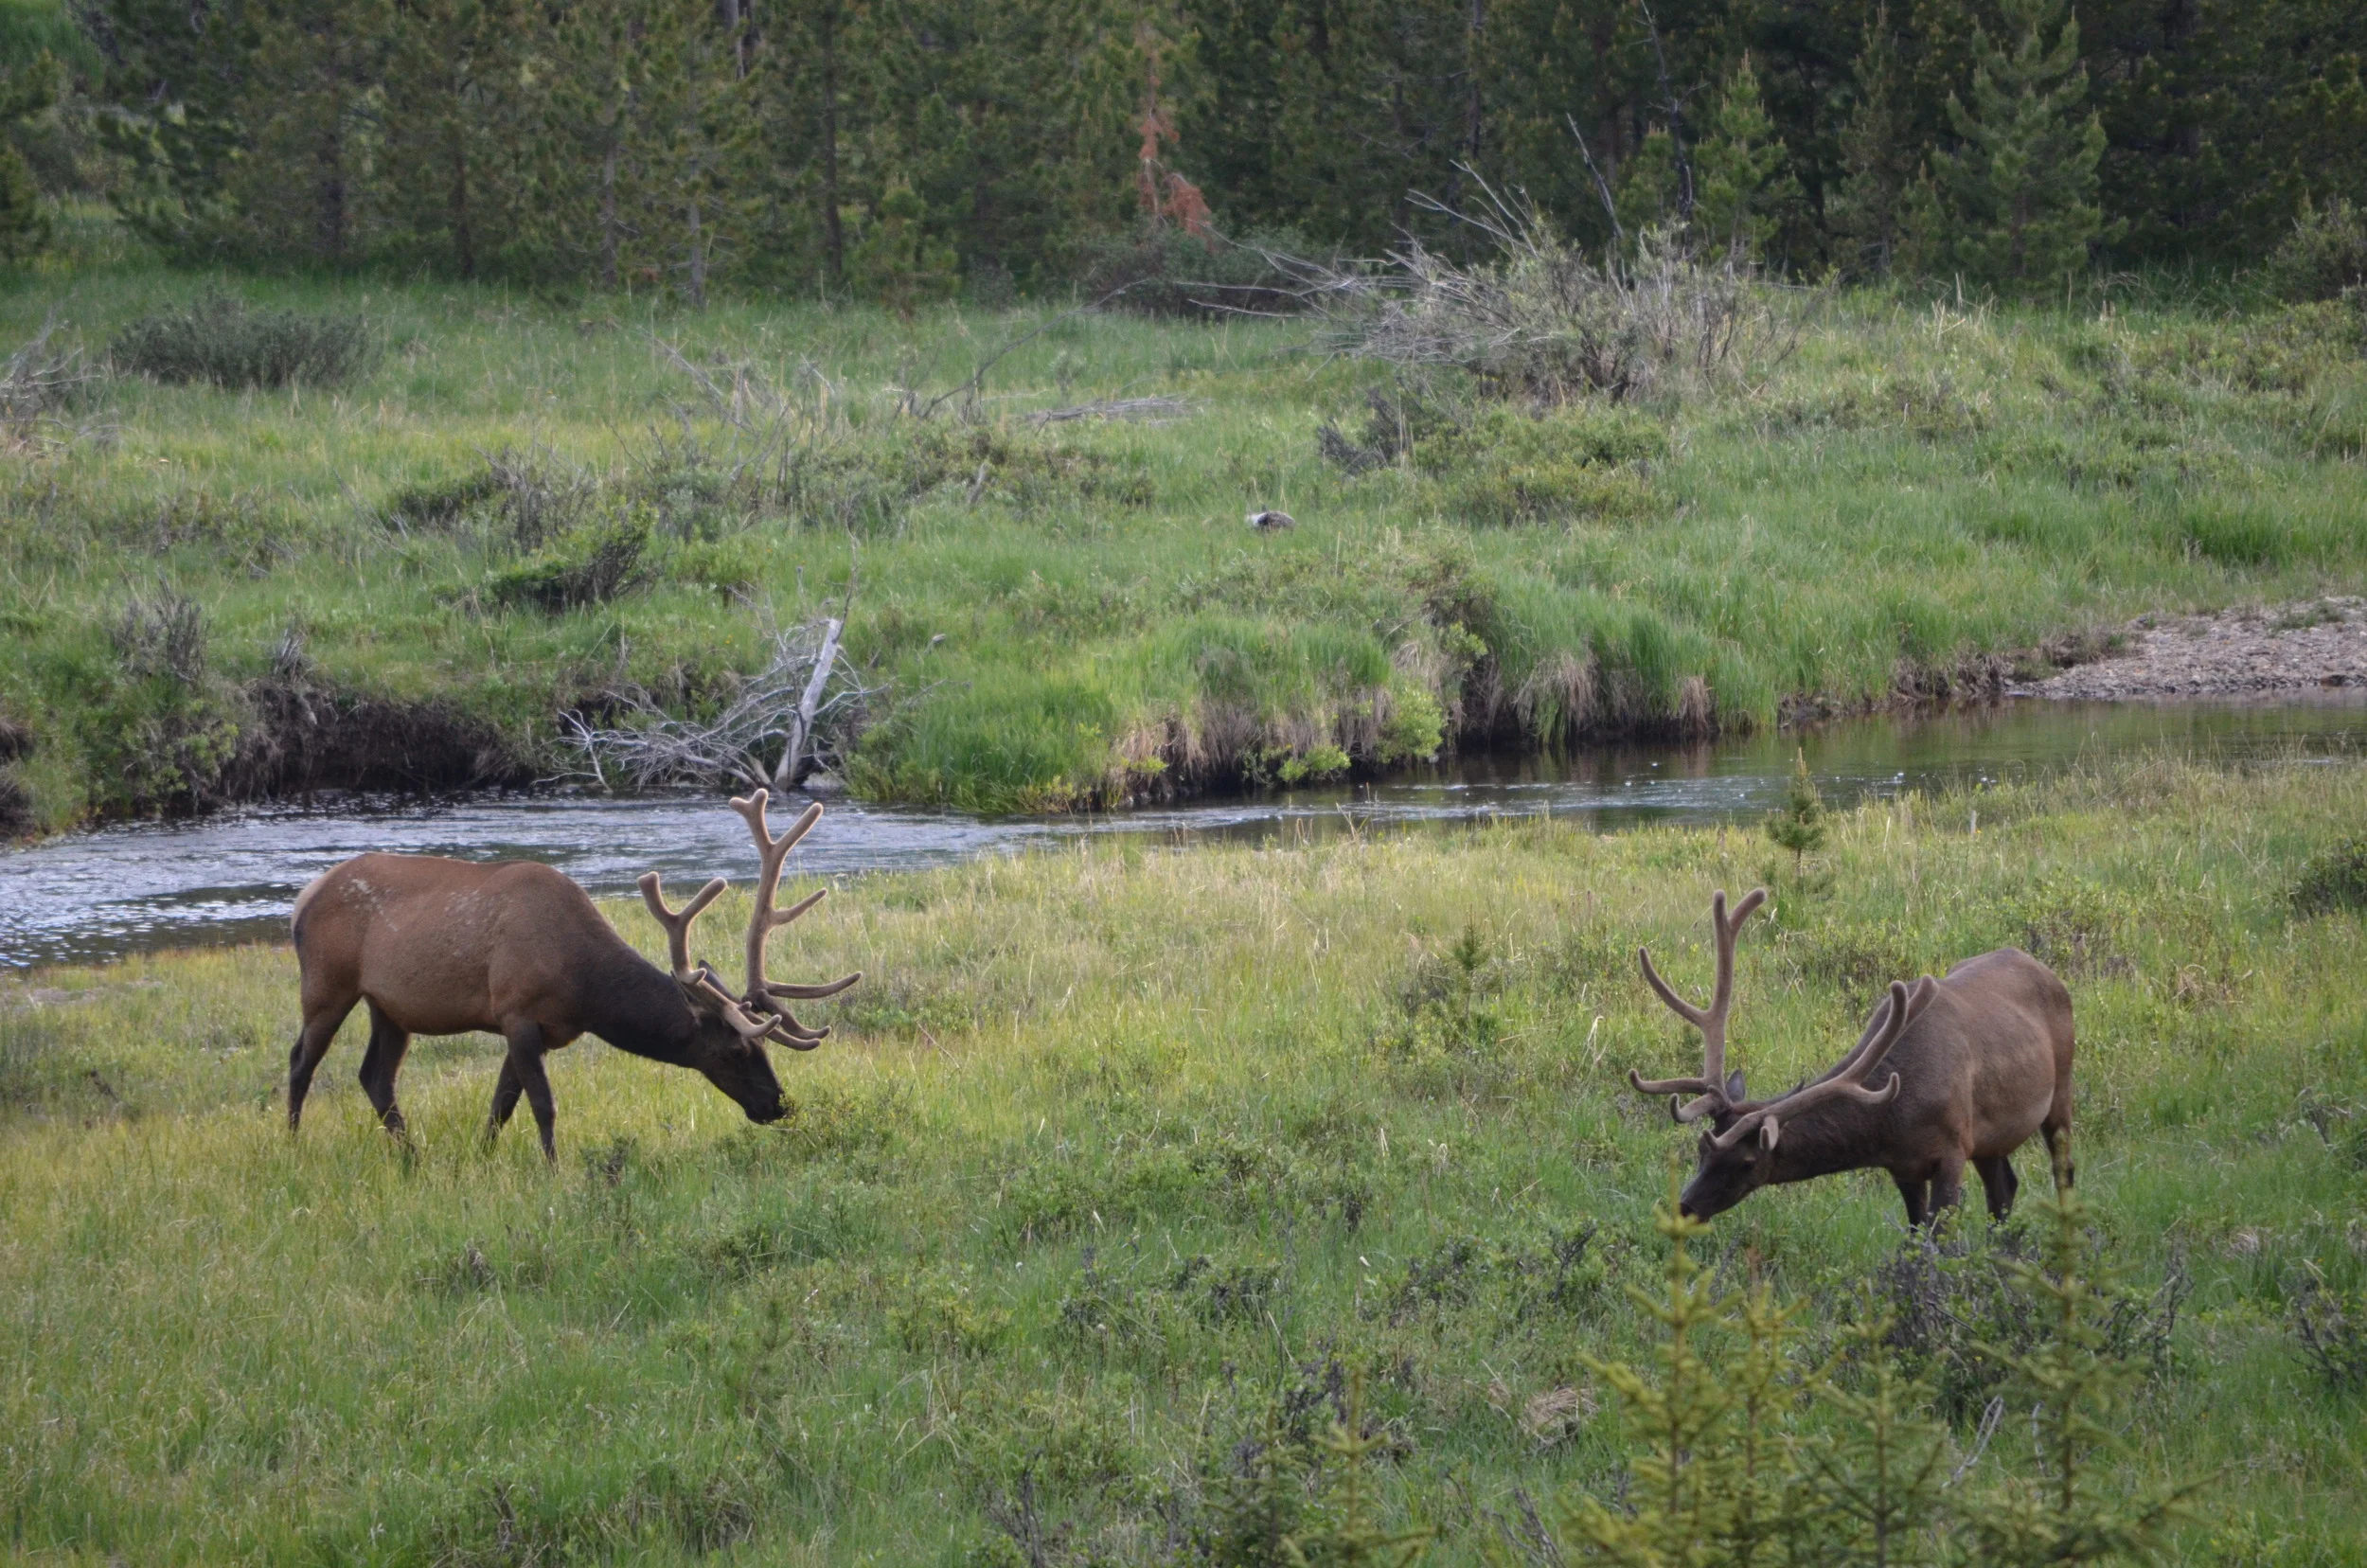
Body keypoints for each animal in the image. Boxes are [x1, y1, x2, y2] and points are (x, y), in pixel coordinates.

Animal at [286, 789, 860, 1159]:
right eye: (736, 1049)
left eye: (763, 1045)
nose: (778, 1104)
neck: (582, 987)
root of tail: (303, 898)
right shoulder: (515, 1010)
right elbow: (543, 1106)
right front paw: (552, 1170)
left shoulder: (538, 1027)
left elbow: (501, 1105)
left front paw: (482, 1160)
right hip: (327, 984)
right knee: (301, 1062)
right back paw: (293, 1147)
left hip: (390, 1006)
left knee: (375, 1077)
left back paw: (411, 1158)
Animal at [1623, 889, 2075, 1227]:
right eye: (1701, 1152)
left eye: (1747, 1162)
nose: (1685, 1206)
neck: (1895, 1115)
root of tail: (2046, 970)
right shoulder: (1904, 1166)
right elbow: (1917, 1235)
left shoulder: (1953, 1148)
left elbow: (1939, 1237)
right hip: (1990, 1141)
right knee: (2005, 1191)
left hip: (2059, 1092)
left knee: (2063, 1172)